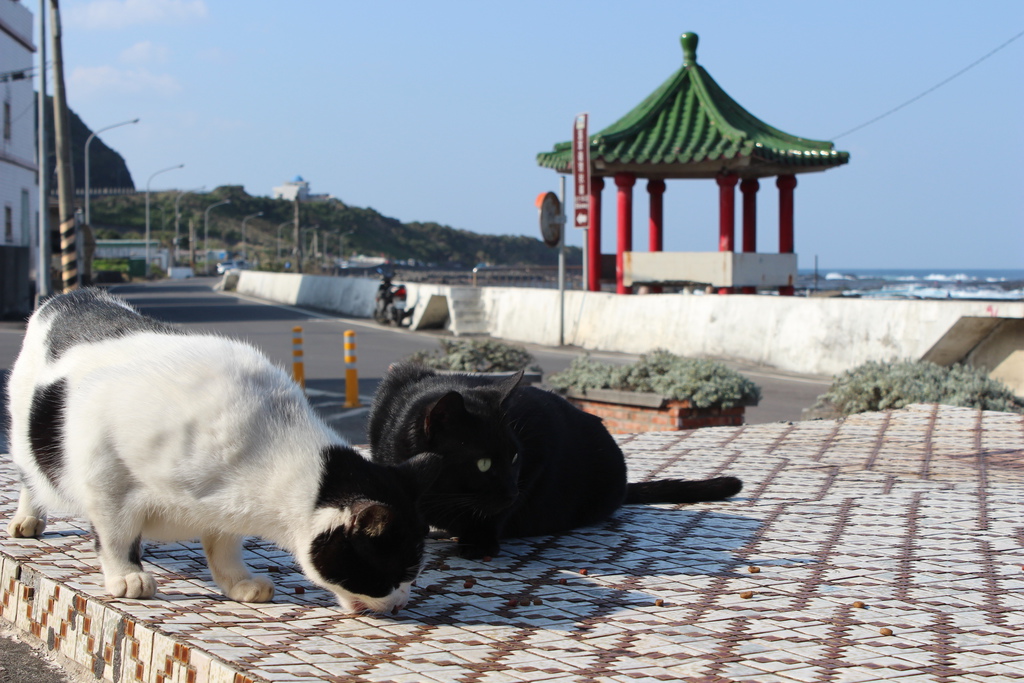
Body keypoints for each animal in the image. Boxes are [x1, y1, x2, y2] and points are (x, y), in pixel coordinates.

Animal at [6, 288, 434, 614]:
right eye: (394, 572)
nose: (402, 601)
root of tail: (72, 295)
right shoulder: (108, 477)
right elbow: (116, 536)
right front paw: (126, 575)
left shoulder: (225, 509)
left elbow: (223, 546)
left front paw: (238, 583)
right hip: (26, 435)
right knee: (30, 477)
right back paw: (29, 519)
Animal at [368, 362, 745, 561]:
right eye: (483, 464)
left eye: (515, 456)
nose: (509, 490)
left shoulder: (540, 440)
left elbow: (499, 512)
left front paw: (478, 541)